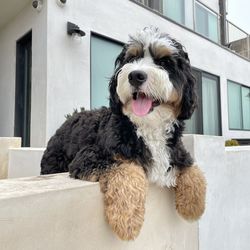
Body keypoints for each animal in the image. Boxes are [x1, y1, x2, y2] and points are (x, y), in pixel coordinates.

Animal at [40, 27, 205, 240]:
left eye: (164, 62)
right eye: (132, 58)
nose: (135, 75)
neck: (147, 128)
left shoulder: (176, 151)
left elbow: (195, 172)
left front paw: (193, 208)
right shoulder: (91, 155)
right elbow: (128, 170)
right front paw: (127, 219)